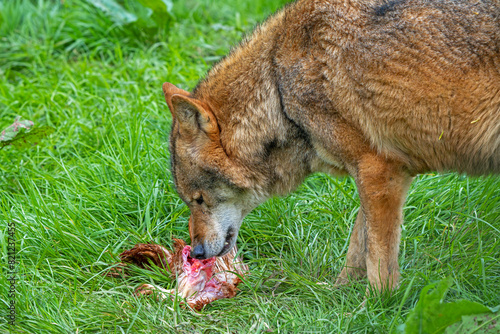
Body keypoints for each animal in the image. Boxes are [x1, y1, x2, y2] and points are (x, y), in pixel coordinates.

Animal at [162, 0, 498, 290]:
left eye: (199, 199)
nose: (196, 252)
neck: (278, 90)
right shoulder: (371, 172)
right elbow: (358, 246)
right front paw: (340, 295)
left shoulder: (379, 171)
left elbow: (378, 260)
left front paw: (378, 307)